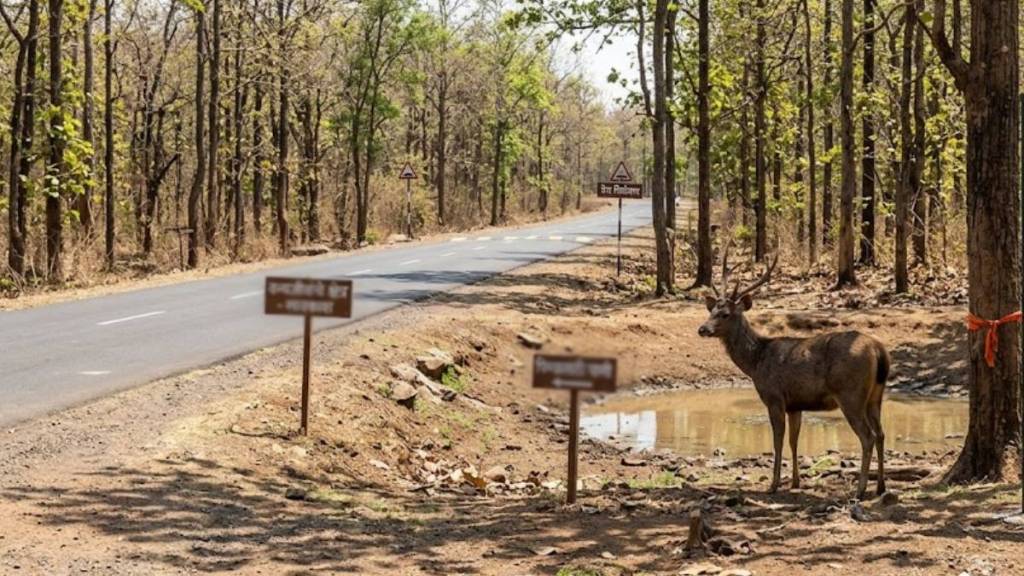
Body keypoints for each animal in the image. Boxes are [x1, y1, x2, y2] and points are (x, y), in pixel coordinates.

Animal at [697, 247, 890, 499]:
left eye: (726, 314)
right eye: (711, 310)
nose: (702, 329)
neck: (756, 362)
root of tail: (878, 350)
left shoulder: (774, 397)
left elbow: (778, 441)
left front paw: (774, 484)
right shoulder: (795, 405)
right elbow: (794, 441)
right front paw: (796, 482)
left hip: (851, 393)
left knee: (868, 436)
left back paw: (860, 489)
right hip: (876, 395)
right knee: (881, 434)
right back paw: (880, 486)